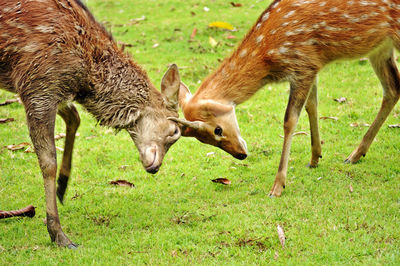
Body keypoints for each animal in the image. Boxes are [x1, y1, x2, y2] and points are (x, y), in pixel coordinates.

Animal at [0, 0, 183, 249]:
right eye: (175, 131)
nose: (155, 168)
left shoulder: (54, 89)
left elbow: (74, 117)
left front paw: (63, 186)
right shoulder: (37, 83)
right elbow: (48, 162)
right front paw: (58, 235)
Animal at [171, 0, 400, 197]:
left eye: (216, 130)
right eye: (203, 140)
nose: (241, 155)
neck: (268, 53)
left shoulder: (303, 63)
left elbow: (289, 120)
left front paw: (277, 186)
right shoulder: (312, 66)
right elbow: (311, 105)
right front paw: (315, 157)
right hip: (380, 47)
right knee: (392, 88)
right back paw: (355, 154)